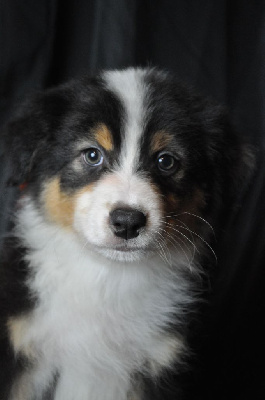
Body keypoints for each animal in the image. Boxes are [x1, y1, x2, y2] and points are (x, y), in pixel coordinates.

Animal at [0, 67, 252, 398]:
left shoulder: (159, 362)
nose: (128, 222)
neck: (108, 279)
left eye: (166, 160)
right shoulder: (20, 348)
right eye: (92, 155)